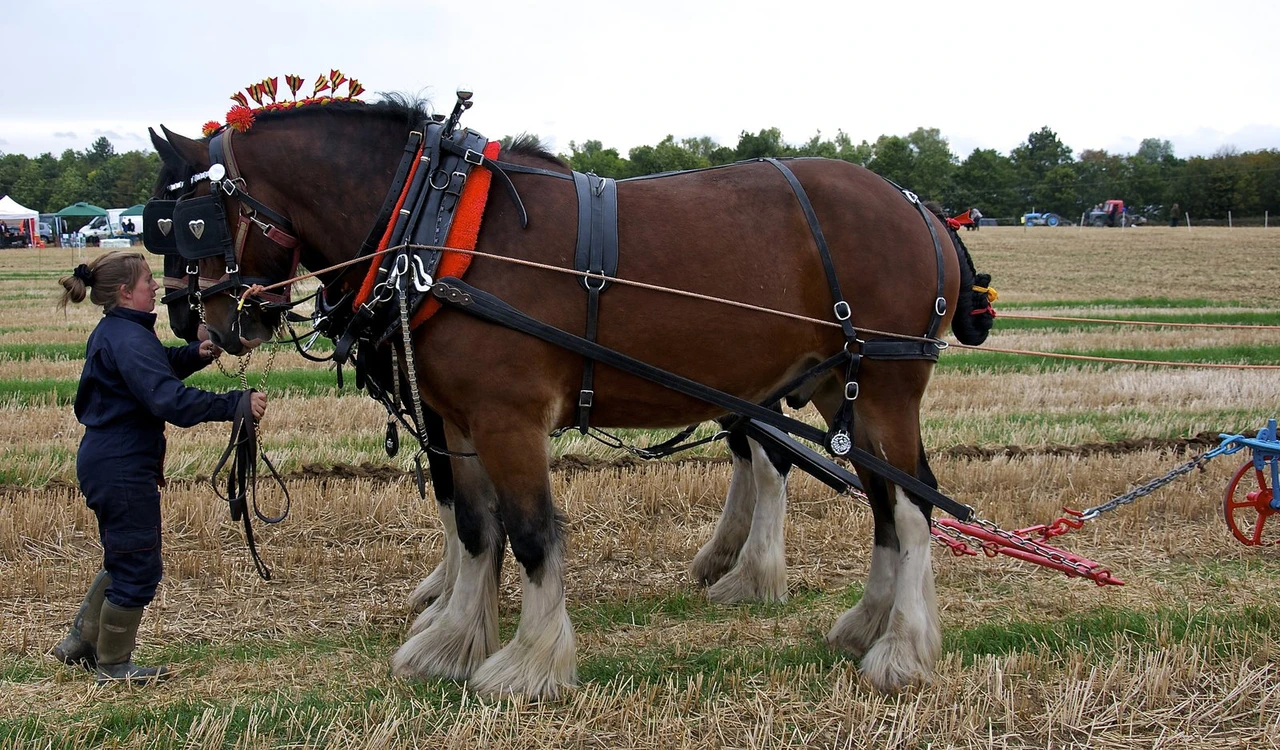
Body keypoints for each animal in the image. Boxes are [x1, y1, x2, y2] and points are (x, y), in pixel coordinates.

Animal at [150, 96, 969, 698]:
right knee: (880, 503)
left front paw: (529, 665)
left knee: (911, 504)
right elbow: (474, 529)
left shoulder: (507, 419)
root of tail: (920, 206)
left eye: (186, 223)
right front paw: (449, 642)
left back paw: (899, 649)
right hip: (837, 390)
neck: (437, 224)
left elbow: (532, 532)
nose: (203, 322)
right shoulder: (457, 421)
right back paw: (863, 624)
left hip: (883, 387)